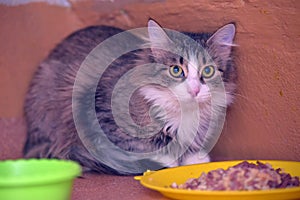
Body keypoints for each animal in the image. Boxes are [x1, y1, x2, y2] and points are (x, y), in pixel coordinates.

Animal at [22, 19, 237, 175]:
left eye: (208, 71)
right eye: (176, 70)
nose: (195, 90)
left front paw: (196, 159)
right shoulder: (102, 118)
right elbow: (148, 149)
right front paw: (170, 162)